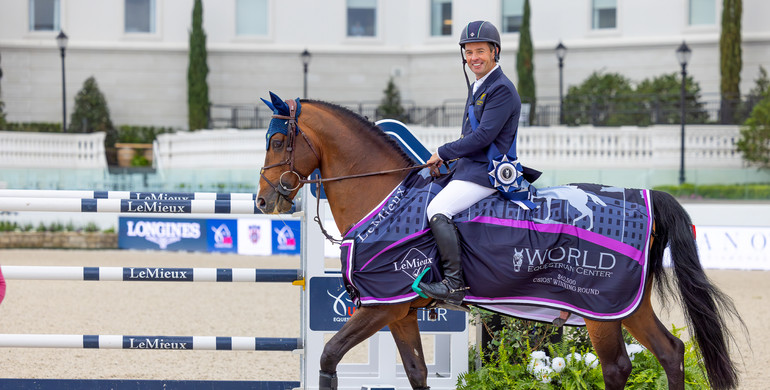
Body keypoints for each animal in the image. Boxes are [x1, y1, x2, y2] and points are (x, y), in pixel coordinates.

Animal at [258, 97, 744, 390]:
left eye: (279, 141)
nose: (263, 200)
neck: (385, 198)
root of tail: (644, 197)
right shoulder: (399, 312)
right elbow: (416, 372)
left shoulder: (381, 306)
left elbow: (328, 357)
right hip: (627, 305)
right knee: (670, 352)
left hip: (600, 307)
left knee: (617, 367)